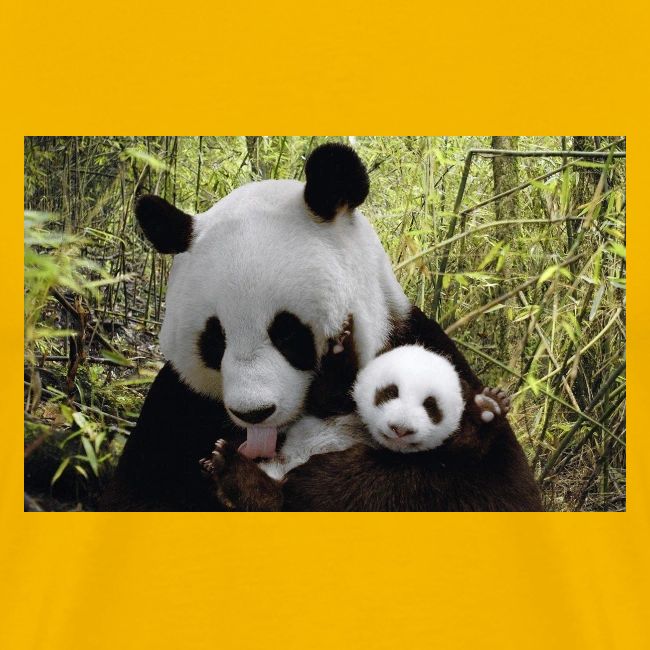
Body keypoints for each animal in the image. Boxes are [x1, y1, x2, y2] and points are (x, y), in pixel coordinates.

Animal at [100, 143, 540, 512]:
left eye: (287, 333)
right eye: (214, 340)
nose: (254, 413)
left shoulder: (421, 346)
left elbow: (489, 488)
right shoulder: (178, 405)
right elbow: (138, 492)